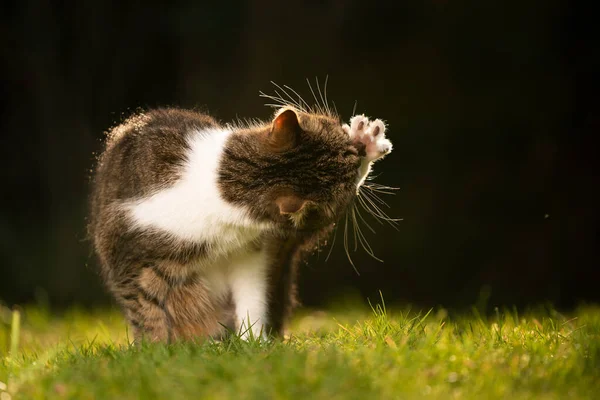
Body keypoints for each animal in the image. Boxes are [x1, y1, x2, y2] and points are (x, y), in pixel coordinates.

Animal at [86, 89, 392, 342]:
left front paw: (254, 344)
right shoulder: (132, 259)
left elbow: (252, 296)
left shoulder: (250, 251)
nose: (359, 150)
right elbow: (147, 313)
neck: (222, 183)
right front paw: (155, 350)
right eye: (346, 185)